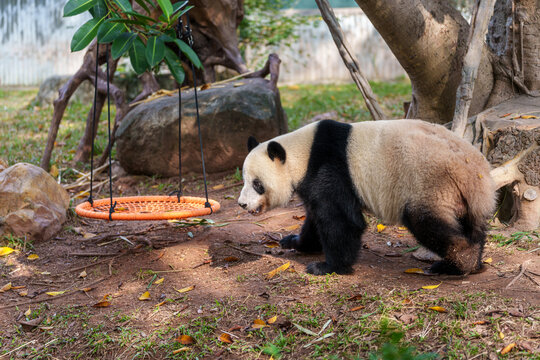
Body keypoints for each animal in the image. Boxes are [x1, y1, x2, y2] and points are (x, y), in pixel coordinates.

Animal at [238, 120, 496, 276]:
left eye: (257, 184)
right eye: (244, 179)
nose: (242, 204)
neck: (301, 153)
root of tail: (475, 173)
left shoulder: (328, 166)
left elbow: (341, 219)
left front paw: (326, 266)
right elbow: (314, 218)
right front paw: (294, 242)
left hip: (431, 184)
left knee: (428, 222)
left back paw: (458, 264)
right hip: (463, 197)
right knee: (473, 227)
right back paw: (474, 259)